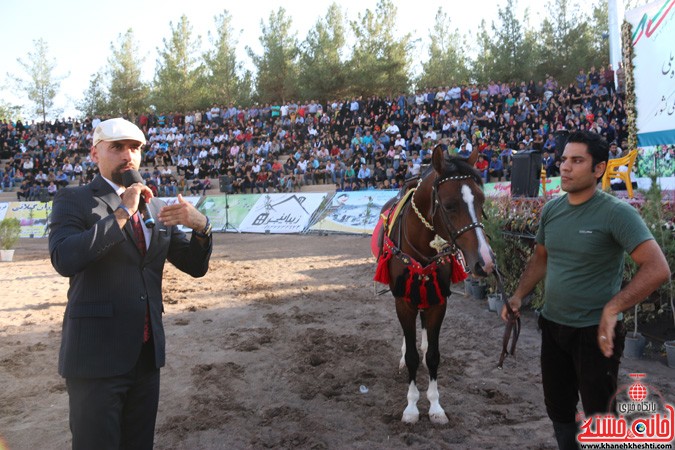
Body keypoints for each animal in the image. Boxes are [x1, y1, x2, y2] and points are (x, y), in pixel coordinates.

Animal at [372, 145, 494, 426]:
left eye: (481, 201)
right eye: (449, 205)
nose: (485, 261)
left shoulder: (439, 301)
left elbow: (433, 356)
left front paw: (436, 406)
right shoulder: (403, 301)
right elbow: (412, 356)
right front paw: (411, 407)